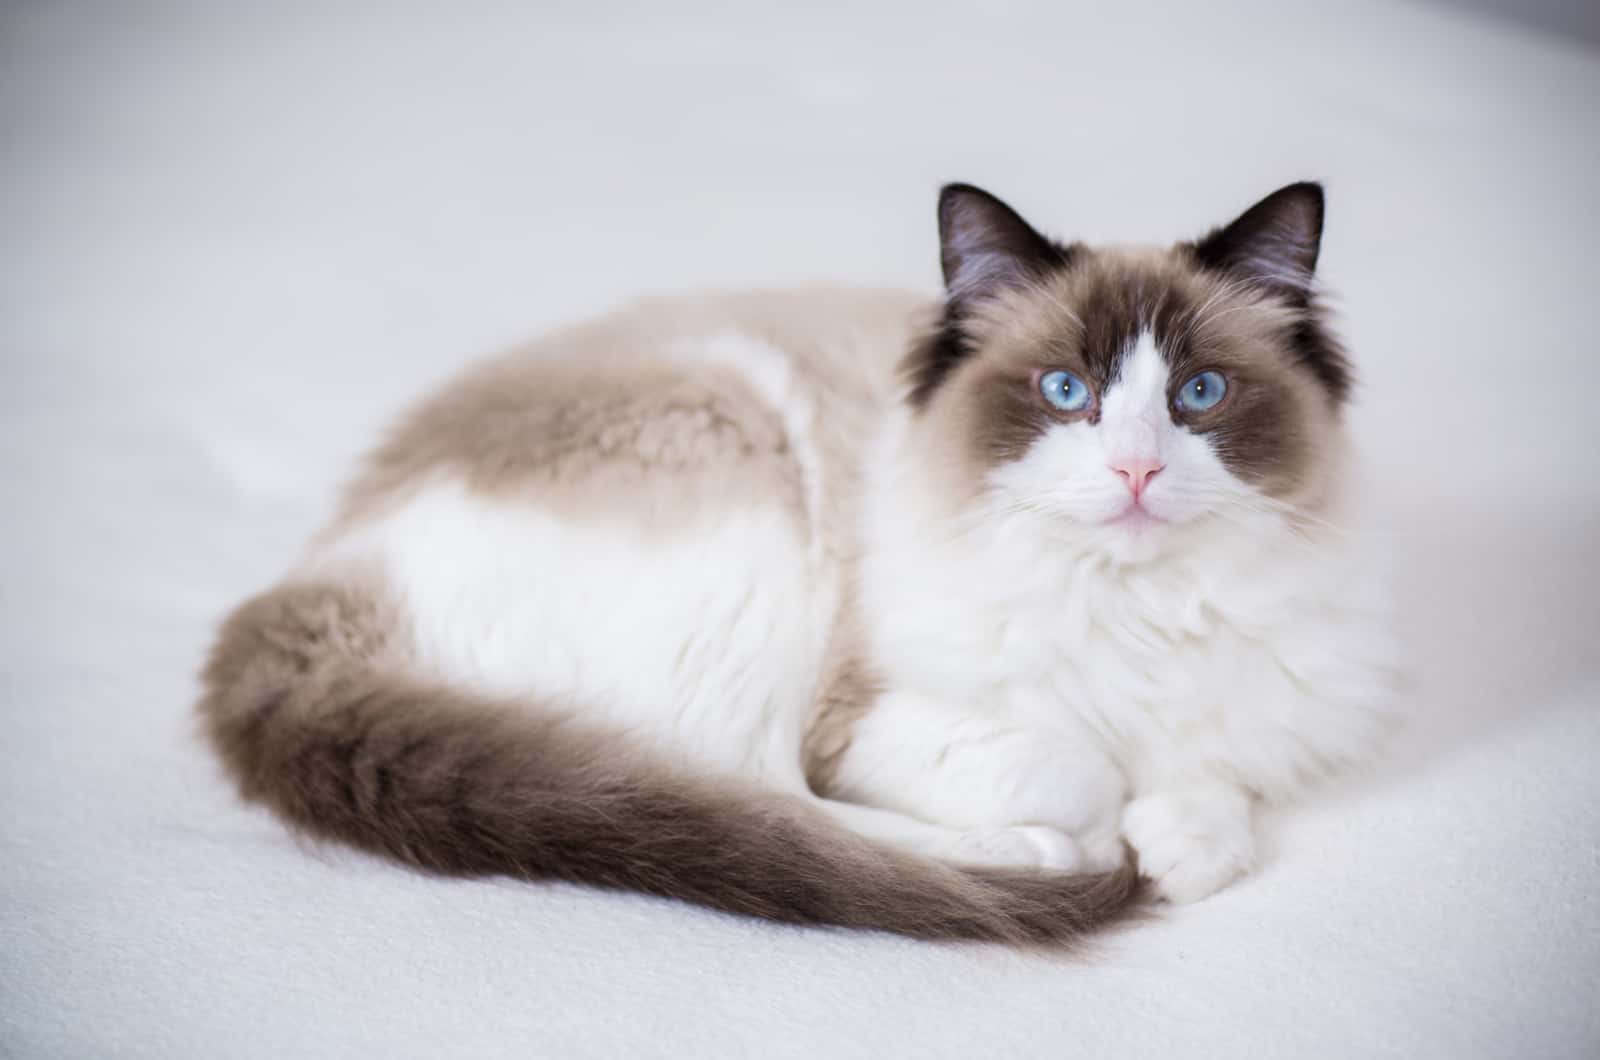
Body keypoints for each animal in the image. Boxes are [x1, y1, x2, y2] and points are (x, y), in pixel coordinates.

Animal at [200, 180, 1395, 947]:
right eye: (1067, 393)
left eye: (1200, 394)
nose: (1138, 469)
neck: (1132, 604)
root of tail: (317, 577)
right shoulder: (861, 717)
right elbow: (1082, 764)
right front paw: (1114, 831)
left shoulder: (1259, 698)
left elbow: (1210, 787)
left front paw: (1180, 831)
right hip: (747, 498)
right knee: (758, 802)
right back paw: (1034, 858)